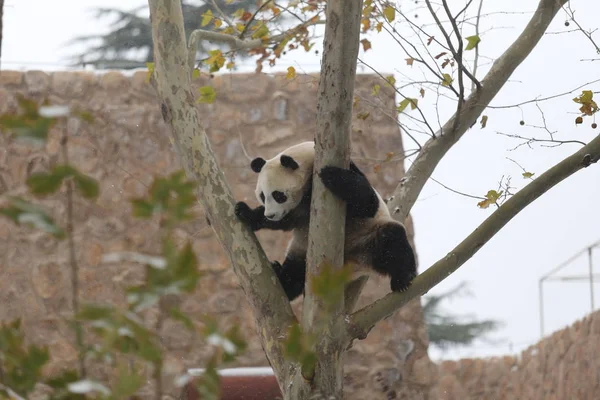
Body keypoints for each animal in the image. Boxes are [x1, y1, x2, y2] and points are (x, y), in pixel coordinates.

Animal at [234, 141, 418, 300]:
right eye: (262, 196)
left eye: (278, 195)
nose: (270, 215)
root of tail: (350, 266)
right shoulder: (298, 209)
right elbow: (286, 221)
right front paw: (244, 212)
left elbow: (367, 203)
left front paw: (332, 175)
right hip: (303, 251)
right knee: (295, 271)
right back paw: (282, 279)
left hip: (368, 237)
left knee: (392, 241)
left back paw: (402, 279)